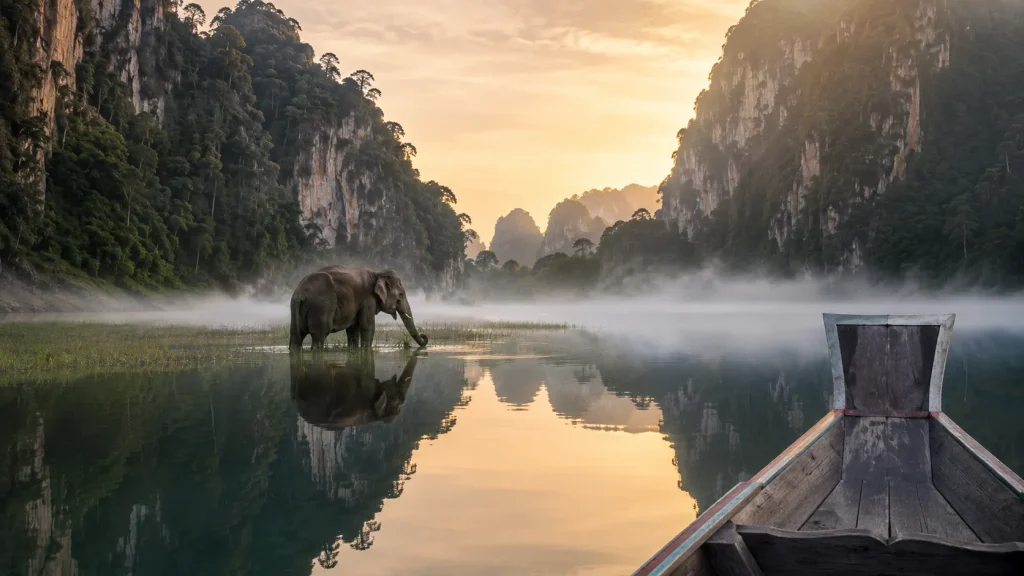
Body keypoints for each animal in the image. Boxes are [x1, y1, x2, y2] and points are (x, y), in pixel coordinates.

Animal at [289, 266, 428, 350]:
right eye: (401, 295)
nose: (424, 335)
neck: (377, 273)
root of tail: (300, 293)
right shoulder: (368, 299)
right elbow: (368, 326)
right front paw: (366, 350)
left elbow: (353, 330)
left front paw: (354, 350)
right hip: (321, 308)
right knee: (319, 335)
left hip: (298, 309)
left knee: (296, 335)